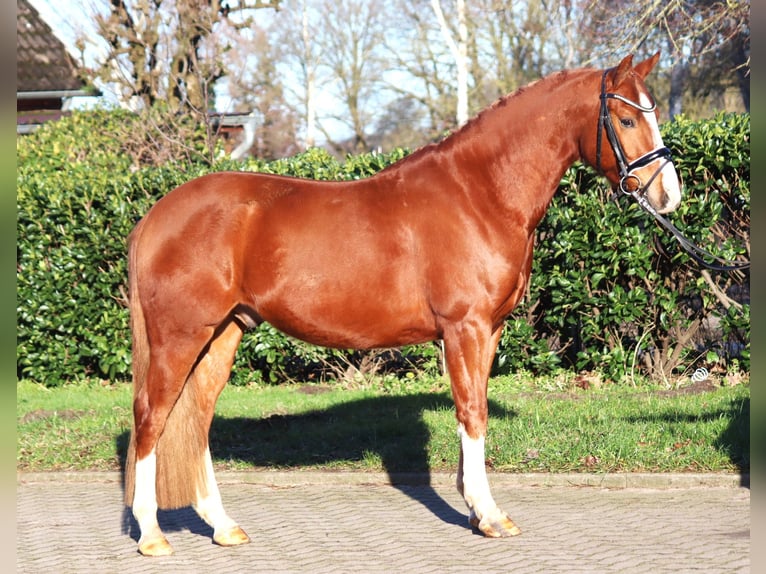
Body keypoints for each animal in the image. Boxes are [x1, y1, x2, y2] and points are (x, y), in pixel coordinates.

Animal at [126, 55, 684, 560]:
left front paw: (475, 507)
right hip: (180, 336)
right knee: (152, 417)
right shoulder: (465, 329)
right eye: (627, 118)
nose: (669, 194)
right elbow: (473, 412)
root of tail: (156, 215)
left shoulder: (489, 331)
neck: (479, 194)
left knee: (195, 421)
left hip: (223, 334)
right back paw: (151, 534)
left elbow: (474, 409)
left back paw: (223, 527)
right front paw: (489, 514)